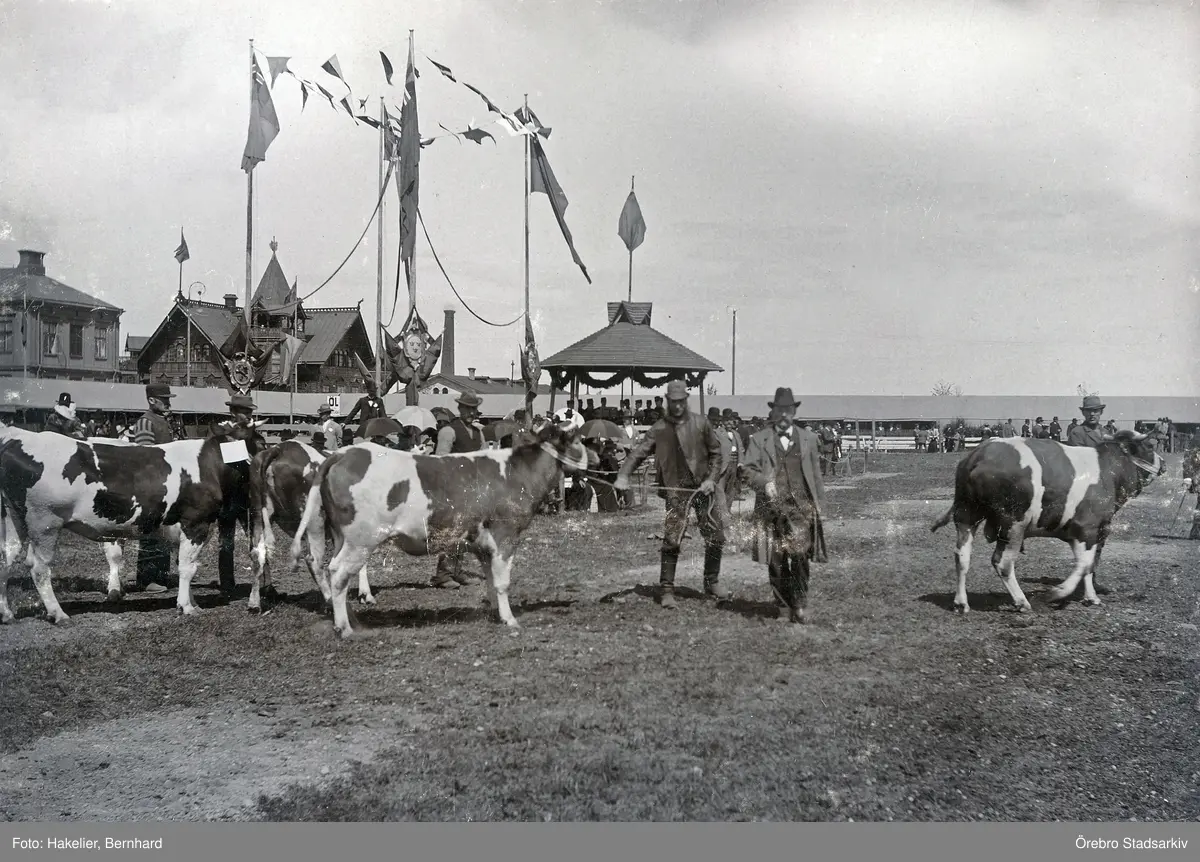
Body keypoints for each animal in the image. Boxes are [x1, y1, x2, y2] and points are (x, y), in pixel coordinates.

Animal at [0, 423, 266, 624]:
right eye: (261, 442)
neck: (209, 465)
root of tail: (18, 438)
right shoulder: (195, 523)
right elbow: (188, 568)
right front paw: (186, 607)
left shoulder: (181, 529)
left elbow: (185, 565)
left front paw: (191, 601)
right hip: (44, 522)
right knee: (39, 568)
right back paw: (58, 613)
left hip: (12, 519)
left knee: (6, 559)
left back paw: (7, 614)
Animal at [247, 440, 374, 613]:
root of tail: (279, 448)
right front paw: (365, 594)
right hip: (313, 519)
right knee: (313, 560)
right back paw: (330, 601)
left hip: (259, 515)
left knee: (257, 555)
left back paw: (254, 603)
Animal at [293, 421, 588, 639]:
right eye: (577, 440)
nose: (593, 459)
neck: (517, 472)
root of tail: (343, 454)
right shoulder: (506, 535)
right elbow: (503, 582)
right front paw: (511, 619)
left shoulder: (483, 543)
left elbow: (491, 579)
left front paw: (496, 613)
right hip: (360, 540)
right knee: (338, 573)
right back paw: (345, 628)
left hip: (340, 536)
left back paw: (350, 619)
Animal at [930, 431, 1163, 613]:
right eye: (1151, 446)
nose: (1164, 463)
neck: (1108, 471)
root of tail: (978, 454)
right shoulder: (1086, 528)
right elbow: (1084, 564)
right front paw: (1057, 592)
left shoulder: (1086, 533)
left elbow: (1088, 565)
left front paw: (1091, 597)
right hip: (1013, 524)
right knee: (1003, 562)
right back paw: (1021, 601)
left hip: (966, 516)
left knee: (962, 556)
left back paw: (961, 603)